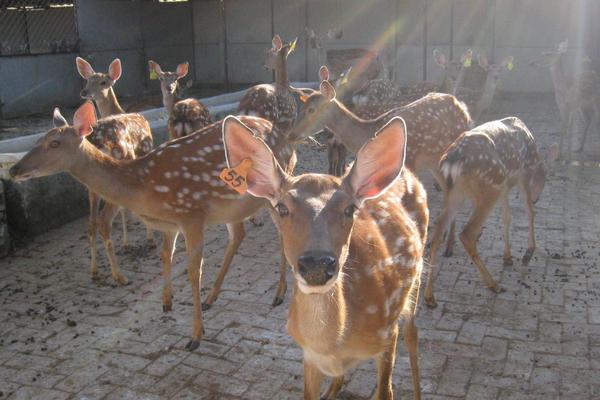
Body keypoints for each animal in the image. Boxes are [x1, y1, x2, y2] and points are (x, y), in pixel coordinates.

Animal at [7, 102, 292, 350]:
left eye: (54, 143)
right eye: (37, 141)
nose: (14, 169)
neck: (142, 186)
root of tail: (281, 133)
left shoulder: (191, 214)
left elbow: (194, 271)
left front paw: (195, 335)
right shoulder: (170, 223)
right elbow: (166, 255)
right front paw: (167, 303)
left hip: (272, 190)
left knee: (280, 235)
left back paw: (278, 293)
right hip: (233, 206)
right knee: (239, 235)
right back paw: (212, 297)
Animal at [75, 56, 154, 282]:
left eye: (103, 82)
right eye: (87, 80)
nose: (84, 91)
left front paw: (128, 244)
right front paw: (147, 239)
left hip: (93, 185)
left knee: (92, 222)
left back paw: (95, 271)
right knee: (103, 221)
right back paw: (118, 275)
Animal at [224, 113, 426, 400]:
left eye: (350, 209)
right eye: (282, 208)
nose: (317, 264)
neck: (335, 342)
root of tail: (406, 171)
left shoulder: (388, 335)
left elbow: (386, 390)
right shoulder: (309, 356)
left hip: (414, 283)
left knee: (413, 332)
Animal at [424, 117, 560, 308]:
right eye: (545, 176)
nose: (537, 198)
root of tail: (451, 161)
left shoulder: (505, 188)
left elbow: (507, 217)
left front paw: (508, 257)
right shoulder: (522, 175)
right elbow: (529, 212)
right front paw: (528, 253)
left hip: (455, 192)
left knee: (437, 232)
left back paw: (429, 297)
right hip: (491, 185)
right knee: (467, 232)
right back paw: (493, 284)